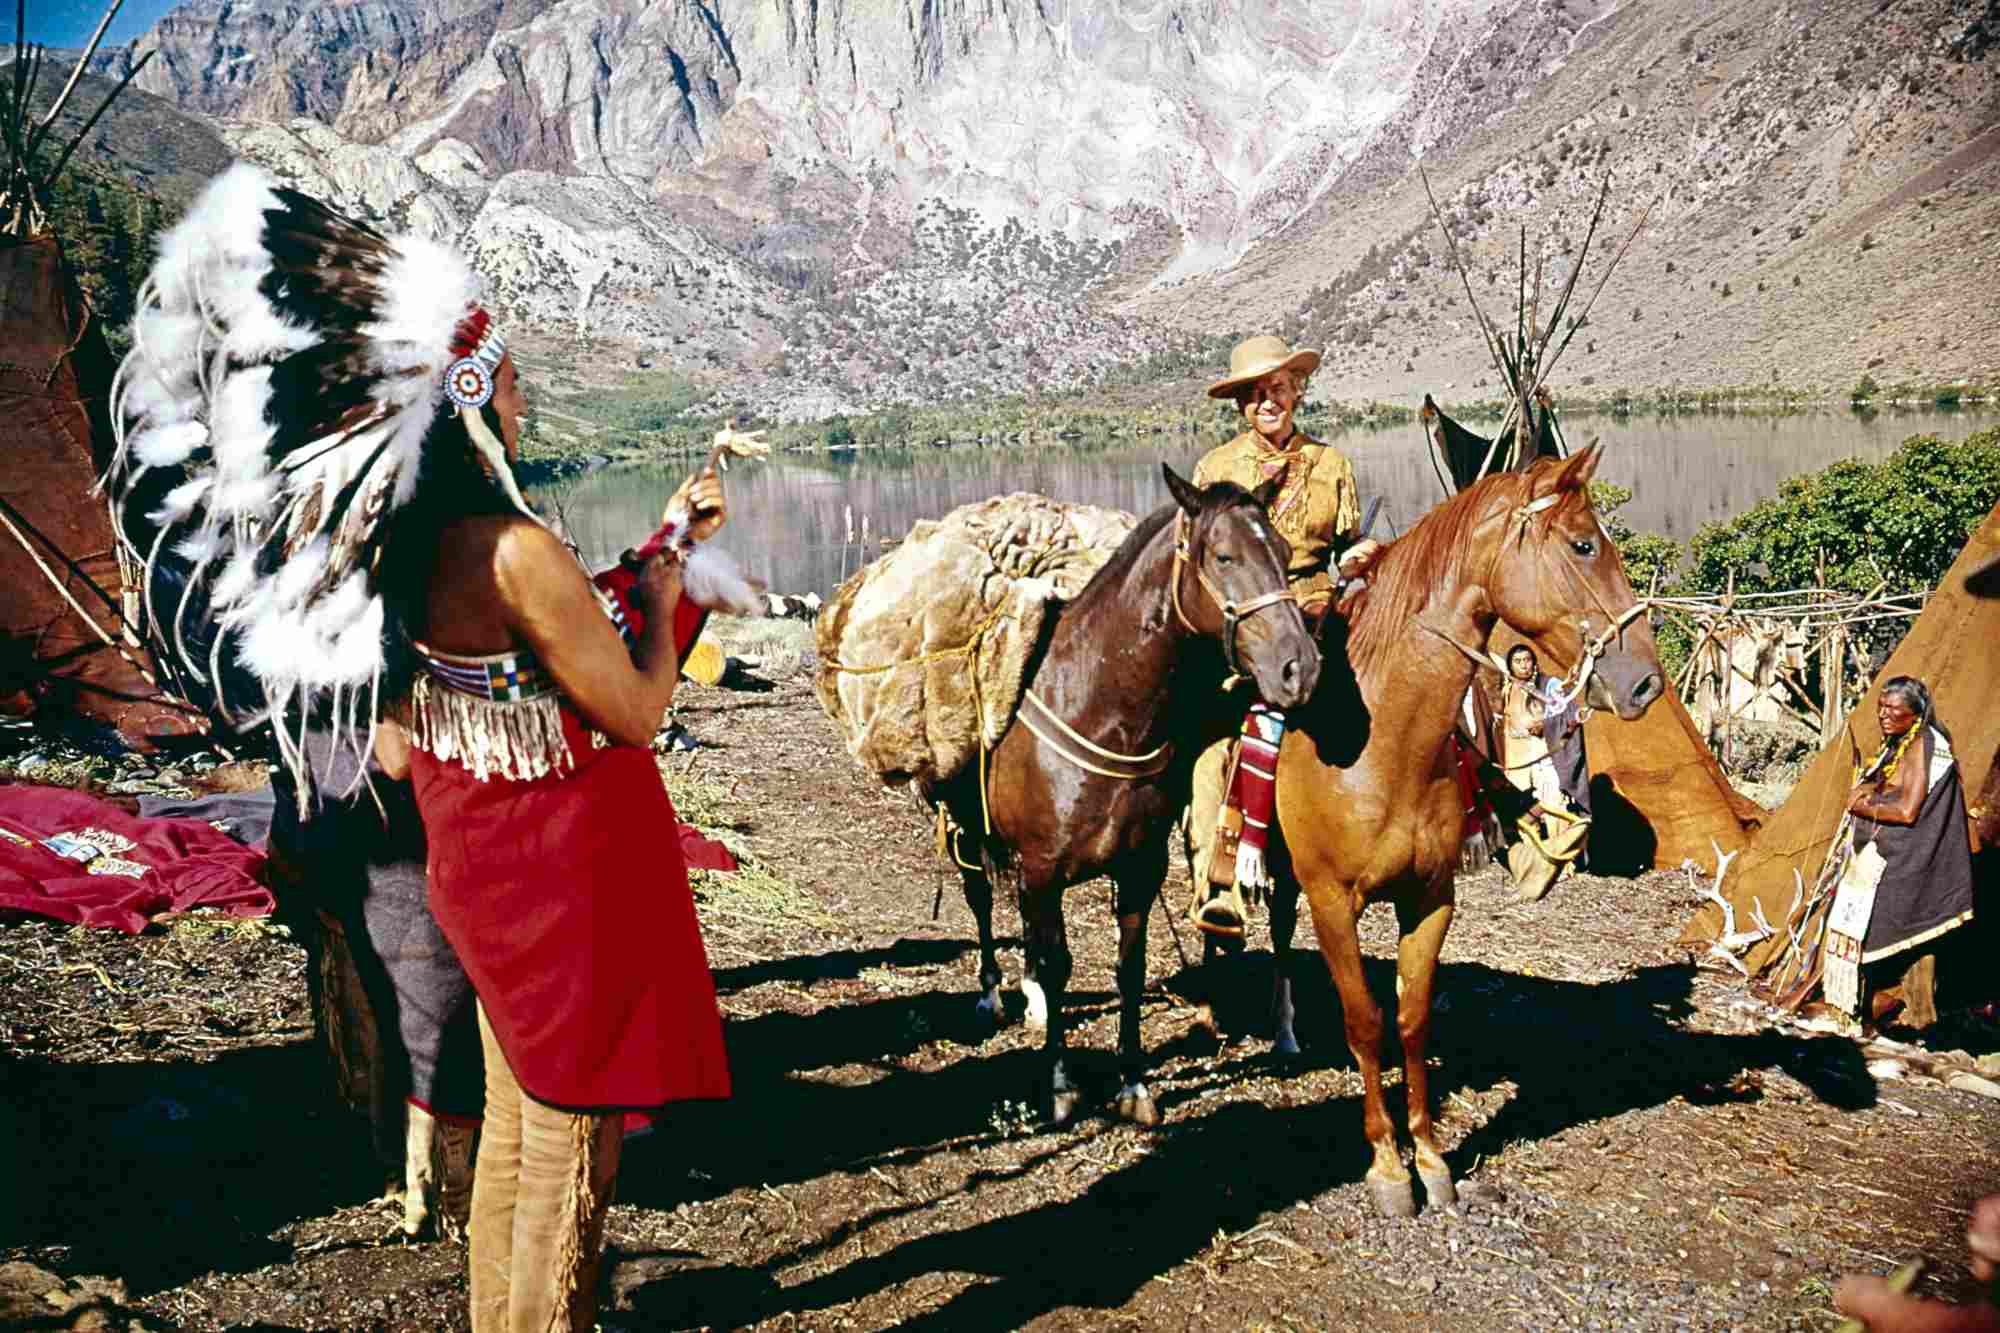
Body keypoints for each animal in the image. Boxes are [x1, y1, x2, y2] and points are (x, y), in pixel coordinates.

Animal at [936, 464, 1328, 1120]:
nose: (1300, 668)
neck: (1099, 705)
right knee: (981, 899)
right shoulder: (1041, 867)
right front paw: (1062, 1087)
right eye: (1223, 556)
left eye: (1281, 551)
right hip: (961, 822)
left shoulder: (1139, 867)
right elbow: (1061, 965)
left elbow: (1129, 967)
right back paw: (993, 994)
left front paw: (1133, 1085)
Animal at [1256, 446, 1664, 1216]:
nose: (1646, 684)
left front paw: (1430, 1159)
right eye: (1583, 545)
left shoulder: (1431, 898)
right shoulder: (1333, 901)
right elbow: (1365, 1021)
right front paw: (1388, 1168)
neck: (1380, 743)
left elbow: (1411, 1018)